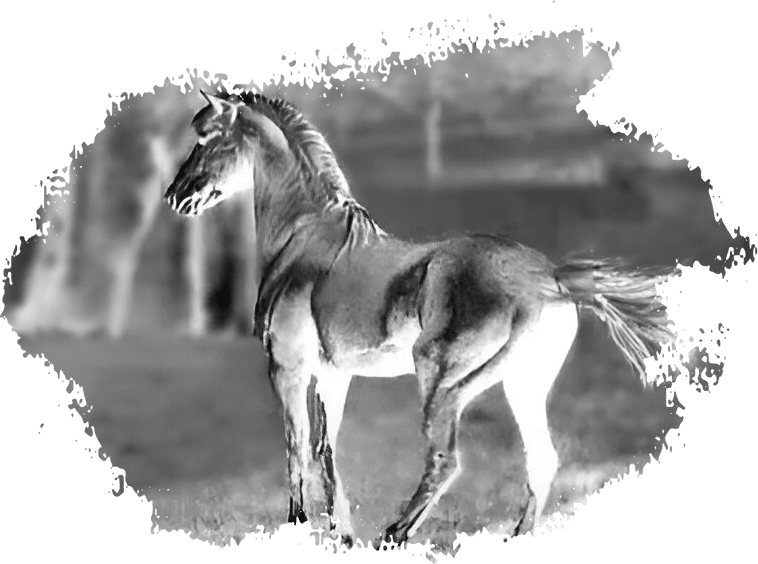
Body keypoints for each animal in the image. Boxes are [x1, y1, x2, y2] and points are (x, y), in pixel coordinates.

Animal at [163, 89, 678, 547]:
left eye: (207, 138)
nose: (175, 196)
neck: (306, 239)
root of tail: (549, 278)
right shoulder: (333, 374)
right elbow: (324, 448)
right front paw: (341, 532)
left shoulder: (287, 368)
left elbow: (297, 445)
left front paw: (299, 526)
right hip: (523, 385)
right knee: (542, 459)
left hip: (444, 383)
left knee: (447, 459)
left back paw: (395, 534)